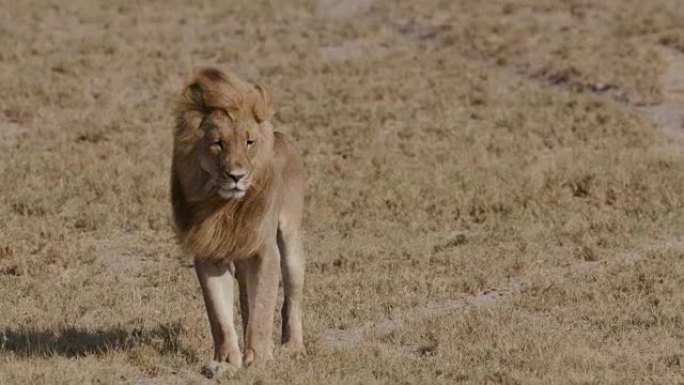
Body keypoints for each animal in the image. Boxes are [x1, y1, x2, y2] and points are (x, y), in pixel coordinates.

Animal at [171, 67, 308, 376]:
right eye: (217, 143)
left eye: (249, 142)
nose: (236, 176)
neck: (225, 208)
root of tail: (282, 136)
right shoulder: (209, 255)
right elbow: (220, 316)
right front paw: (226, 362)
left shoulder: (265, 252)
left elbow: (262, 312)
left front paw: (257, 360)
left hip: (291, 244)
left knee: (291, 300)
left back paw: (292, 347)